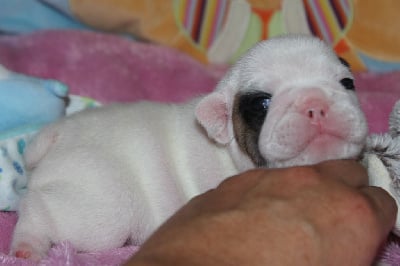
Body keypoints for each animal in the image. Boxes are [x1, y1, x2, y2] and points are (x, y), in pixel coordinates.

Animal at [9, 34, 368, 260]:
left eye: (347, 83)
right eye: (262, 104)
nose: (315, 103)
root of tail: (56, 133)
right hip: (102, 204)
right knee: (41, 208)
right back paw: (28, 244)